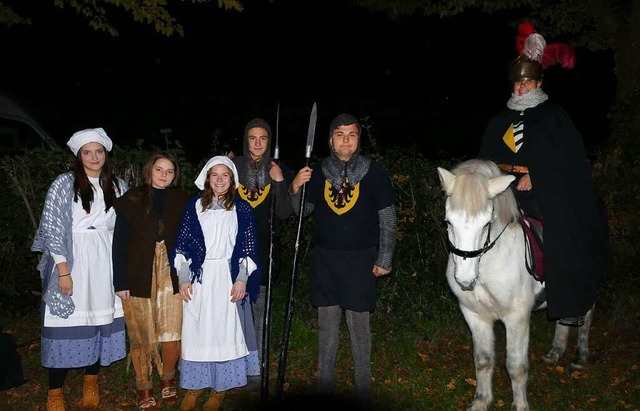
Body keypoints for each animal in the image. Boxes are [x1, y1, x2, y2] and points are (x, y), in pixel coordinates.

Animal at [438, 160, 592, 411]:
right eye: (449, 222)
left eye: (486, 223)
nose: (465, 279)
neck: (488, 264)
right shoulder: (474, 315)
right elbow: (483, 360)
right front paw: (481, 401)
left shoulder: (516, 317)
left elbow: (516, 366)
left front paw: (520, 405)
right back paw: (555, 352)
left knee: (586, 315)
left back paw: (581, 356)